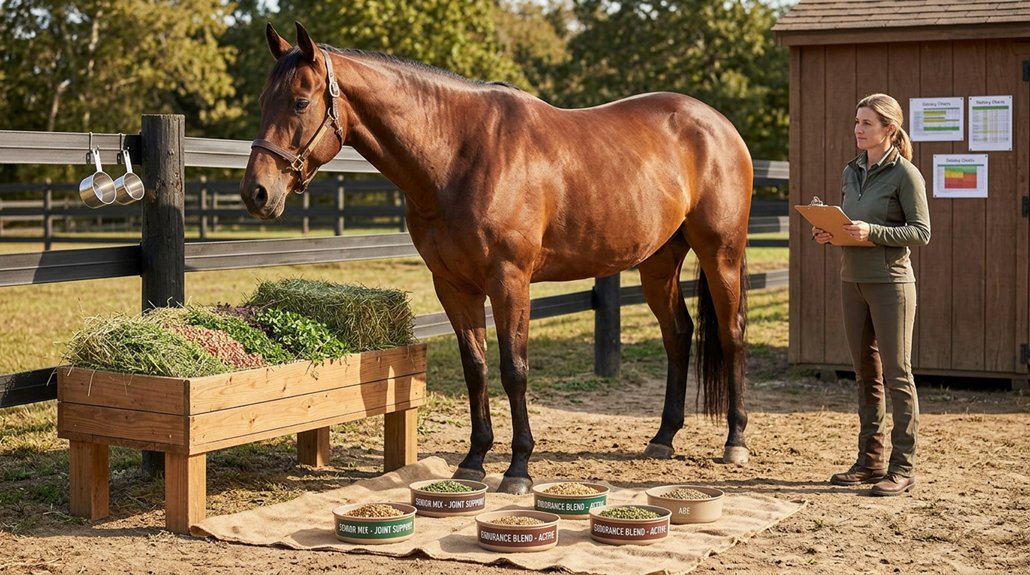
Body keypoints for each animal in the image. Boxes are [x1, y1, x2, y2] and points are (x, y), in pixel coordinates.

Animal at [241, 22, 753, 495]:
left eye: (300, 102)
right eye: (264, 100)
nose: (257, 192)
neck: (460, 154)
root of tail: (718, 125)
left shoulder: (510, 282)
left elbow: (514, 370)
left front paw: (518, 469)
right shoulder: (453, 286)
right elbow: (476, 368)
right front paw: (473, 461)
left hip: (721, 254)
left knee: (731, 335)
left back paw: (735, 441)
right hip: (658, 262)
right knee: (678, 334)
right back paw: (664, 437)